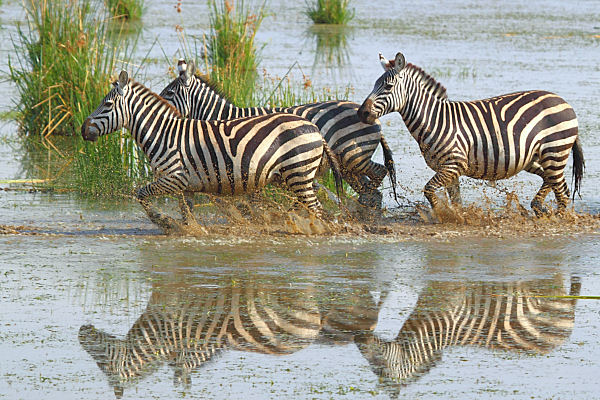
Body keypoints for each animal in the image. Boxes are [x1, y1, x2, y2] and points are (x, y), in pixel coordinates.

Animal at [81, 71, 343, 232]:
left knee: (316, 209)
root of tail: (315, 129)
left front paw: (163, 221)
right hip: (293, 176)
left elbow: (141, 194)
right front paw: (190, 230)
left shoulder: (174, 178)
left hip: (298, 173)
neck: (164, 133)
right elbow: (186, 211)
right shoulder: (186, 184)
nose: (83, 129)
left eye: (107, 104)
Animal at [159, 59, 397, 208]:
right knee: (369, 188)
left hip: (354, 156)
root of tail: (371, 115)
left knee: (377, 176)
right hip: (348, 165)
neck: (223, 118)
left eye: (169, 93)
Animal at [358, 52, 584, 219]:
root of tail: (563, 101)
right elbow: (455, 200)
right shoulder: (449, 169)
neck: (434, 120)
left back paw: (558, 219)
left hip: (554, 151)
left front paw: (442, 215)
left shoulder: (453, 164)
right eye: (374, 84)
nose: (362, 113)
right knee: (556, 184)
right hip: (535, 157)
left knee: (561, 191)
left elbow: (428, 190)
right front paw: (458, 218)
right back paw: (540, 208)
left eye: (388, 86)